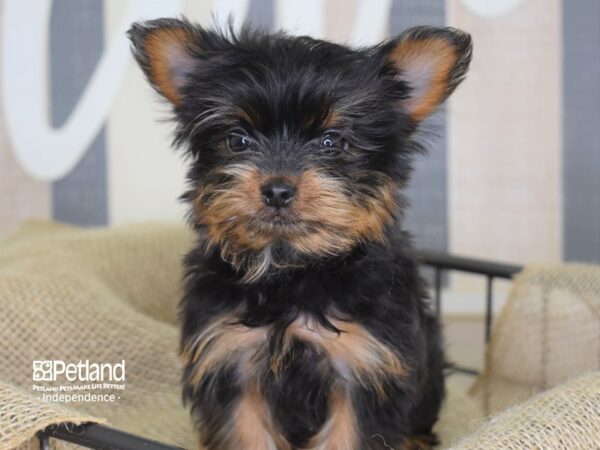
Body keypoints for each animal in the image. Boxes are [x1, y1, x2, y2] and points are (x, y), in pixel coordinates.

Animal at [129, 18, 472, 450]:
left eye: (331, 142)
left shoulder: (363, 365)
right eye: (237, 139)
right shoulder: (232, 360)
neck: (291, 268)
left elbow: (349, 435)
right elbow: (246, 431)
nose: (277, 189)